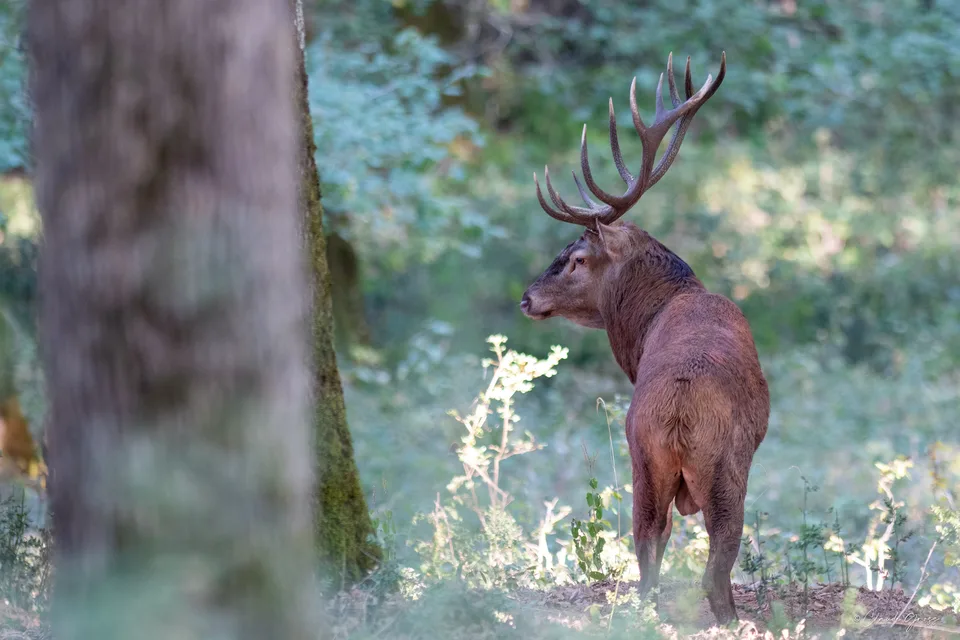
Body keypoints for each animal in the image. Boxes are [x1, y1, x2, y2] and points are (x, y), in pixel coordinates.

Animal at [519, 52, 769, 625]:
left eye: (575, 258)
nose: (526, 297)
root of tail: (677, 414)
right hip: (725, 468)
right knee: (711, 564)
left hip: (643, 460)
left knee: (647, 550)